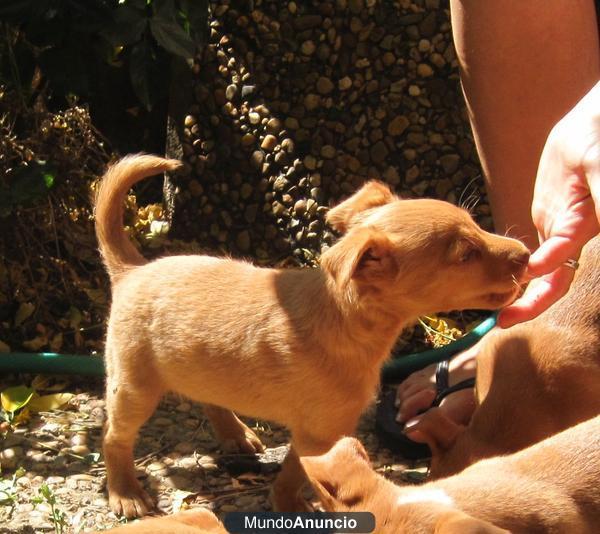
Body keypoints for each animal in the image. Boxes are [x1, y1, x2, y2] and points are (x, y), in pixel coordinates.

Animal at [95, 155, 528, 520]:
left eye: (476, 226)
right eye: (465, 254)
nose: (526, 252)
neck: (342, 317)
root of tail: (132, 269)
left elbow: (296, 471)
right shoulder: (319, 433)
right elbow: (298, 474)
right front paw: (292, 507)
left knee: (209, 398)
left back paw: (235, 434)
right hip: (134, 385)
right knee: (115, 437)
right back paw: (126, 492)